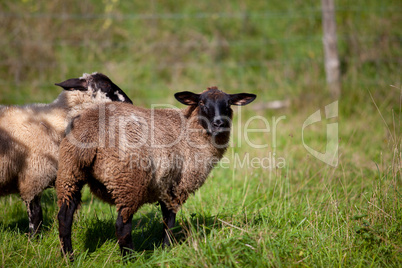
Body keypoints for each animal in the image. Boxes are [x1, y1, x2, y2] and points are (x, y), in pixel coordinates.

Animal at [0, 71, 133, 234]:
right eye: (106, 84)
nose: (130, 103)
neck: (59, 121)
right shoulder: (33, 177)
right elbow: (36, 216)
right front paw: (33, 238)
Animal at [56, 86, 256, 258]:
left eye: (228, 103)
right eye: (201, 102)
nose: (219, 123)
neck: (190, 131)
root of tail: (91, 130)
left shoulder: (164, 186)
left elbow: (166, 219)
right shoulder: (176, 186)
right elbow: (170, 221)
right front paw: (166, 249)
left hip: (69, 173)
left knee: (64, 219)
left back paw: (69, 257)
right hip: (128, 182)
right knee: (122, 225)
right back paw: (131, 259)